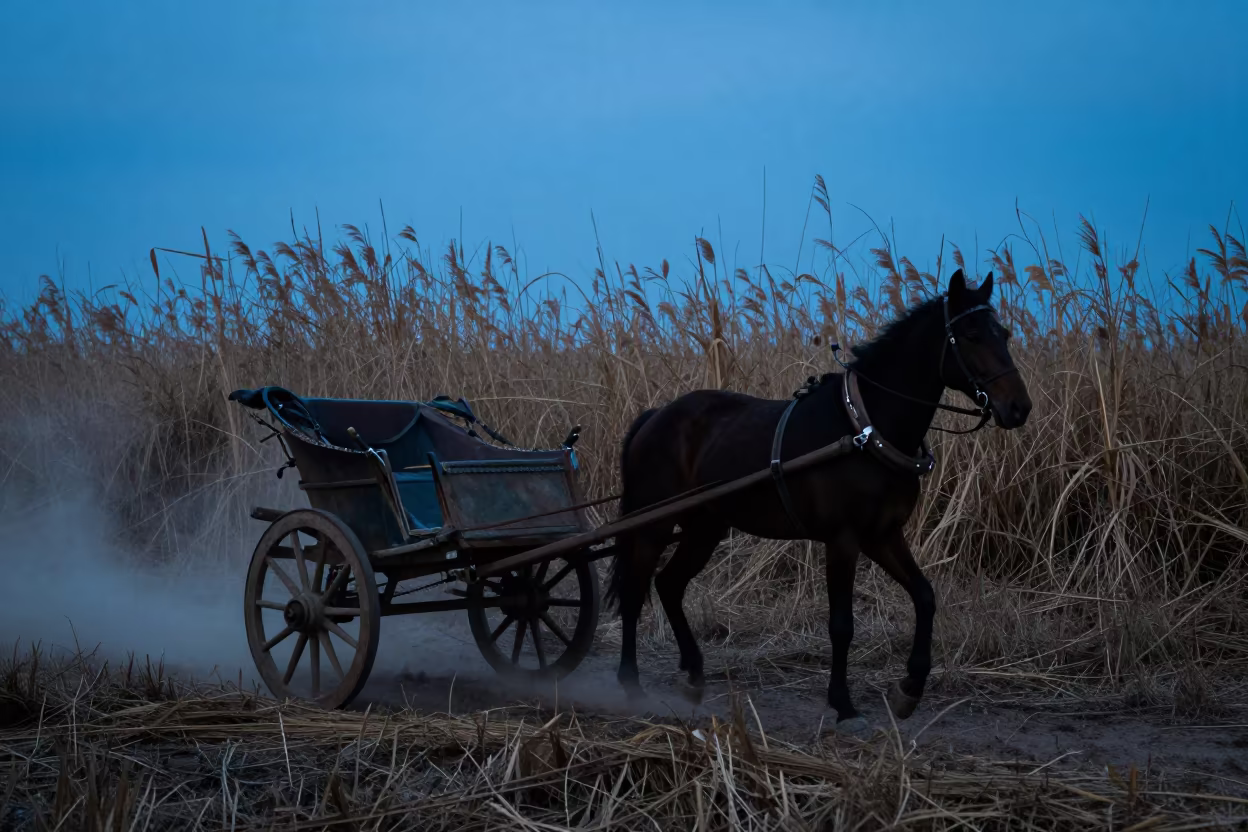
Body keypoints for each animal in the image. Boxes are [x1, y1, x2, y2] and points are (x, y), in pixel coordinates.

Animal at [603, 268, 1032, 735]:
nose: (1019, 407)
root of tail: (655, 416)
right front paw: (843, 703)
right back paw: (630, 682)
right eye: (971, 335)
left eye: (1004, 334)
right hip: (653, 525)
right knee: (635, 592)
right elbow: (841, 624)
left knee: (669, 584)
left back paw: (694, 674)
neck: (864, 428)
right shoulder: (843, 540)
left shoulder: (883, 535)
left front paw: (910, 688)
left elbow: (925, 595)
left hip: (705, 527)